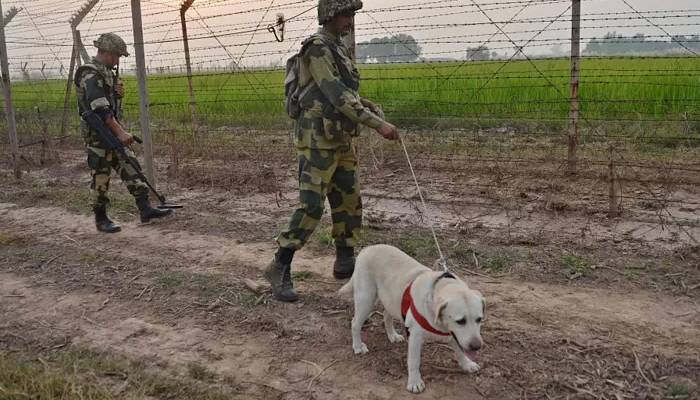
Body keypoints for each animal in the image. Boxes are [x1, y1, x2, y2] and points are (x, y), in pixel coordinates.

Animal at [340, 244, 486, 394]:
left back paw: (392, 335)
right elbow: (414, 361)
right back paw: (358, 346)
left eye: (479, 319)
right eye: (460, 321)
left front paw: (467, 364)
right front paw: (414, 382)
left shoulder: (454, 335)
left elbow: (461, 351)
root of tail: (368, 248)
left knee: (386, 316)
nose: (477, 346)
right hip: (366, 300)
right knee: (355, 324)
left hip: (391, 299)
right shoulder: (415, 336)